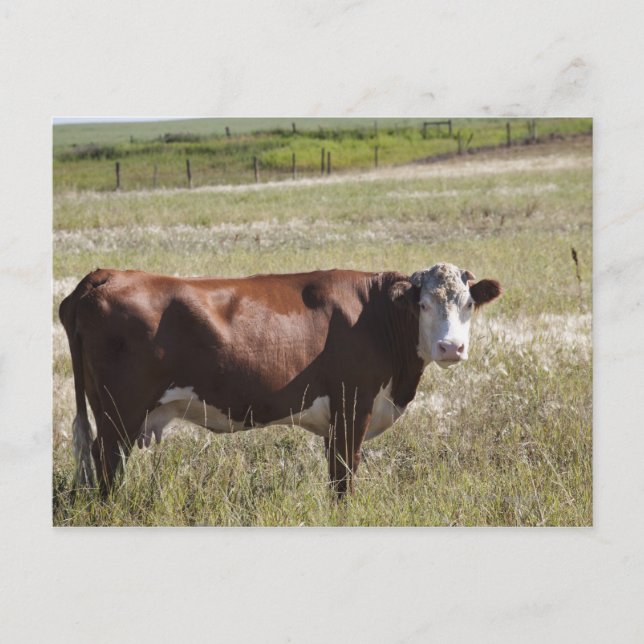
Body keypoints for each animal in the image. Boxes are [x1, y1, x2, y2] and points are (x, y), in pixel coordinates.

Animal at [59, 263, 501, 496]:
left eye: (468, 303)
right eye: (422, 304)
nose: (451, 347)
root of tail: (107, 274)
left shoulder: (334, 420)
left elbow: (334, 473)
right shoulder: (353, 406)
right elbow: (345, 474)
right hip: (120, 411)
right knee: (107, 459)